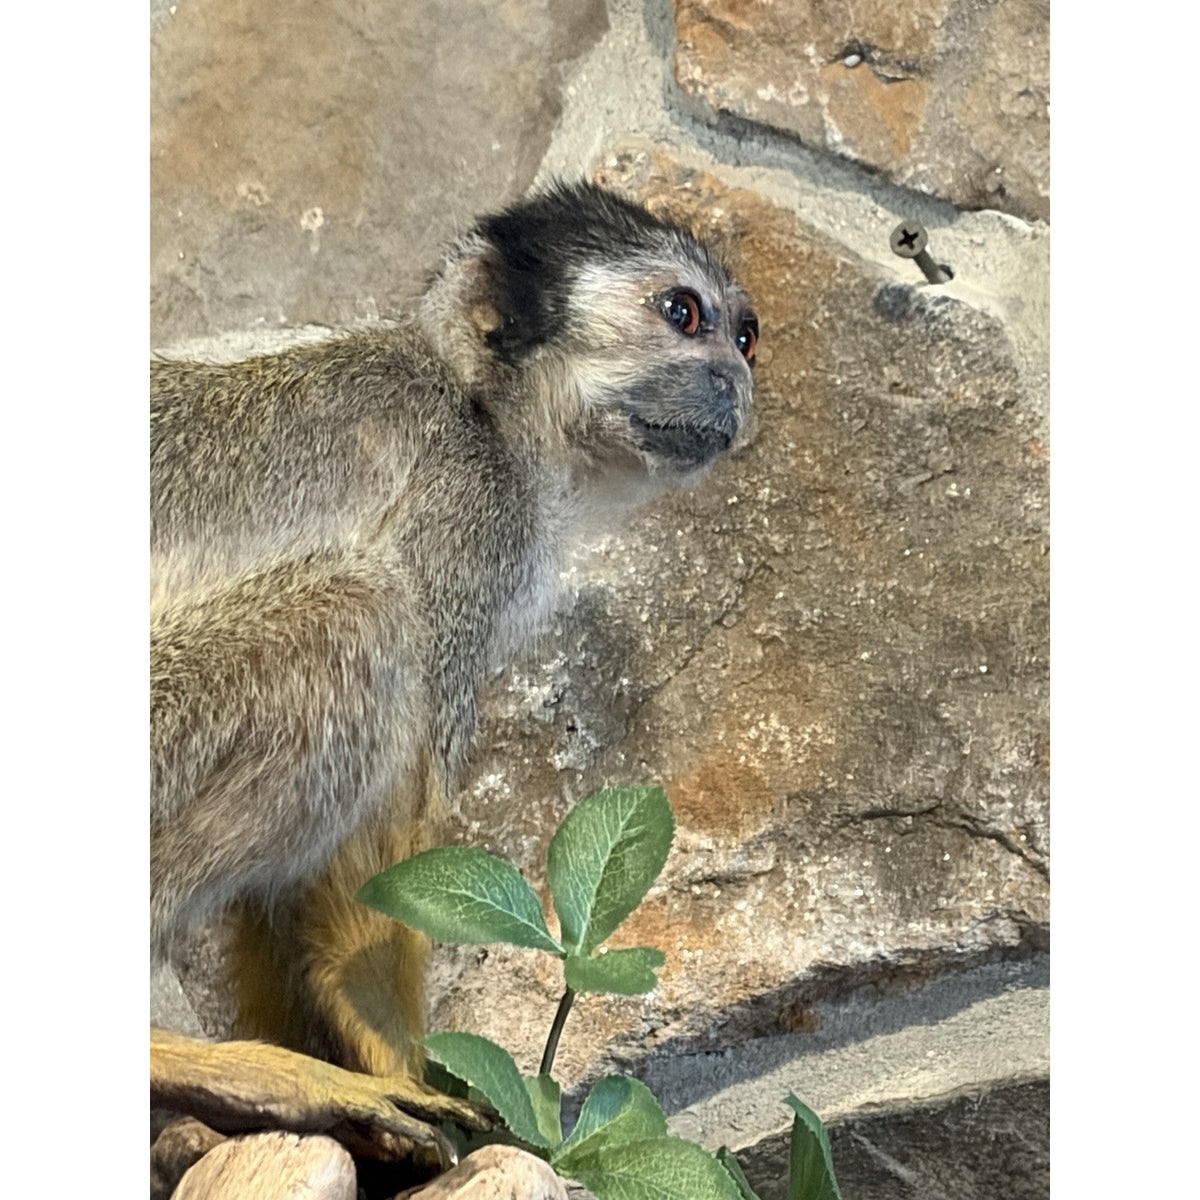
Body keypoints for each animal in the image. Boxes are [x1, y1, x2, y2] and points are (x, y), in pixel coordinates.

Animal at [150, 180, 759, 1167]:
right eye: (683, 313)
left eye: (745, 337)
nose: (736, 384)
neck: (485, 410)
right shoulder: (472, 511)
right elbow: (382, 845)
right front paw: (399, 1069)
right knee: (362, 617)